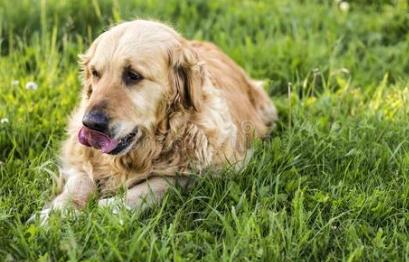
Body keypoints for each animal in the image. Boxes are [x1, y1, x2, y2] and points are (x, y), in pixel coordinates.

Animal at [34, 19, 278, 222]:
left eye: (133, 75)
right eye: (95, 73)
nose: (91, 124)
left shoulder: (216, 170)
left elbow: (159, 183)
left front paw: (112, 208)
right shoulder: (78, 157)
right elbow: (80, 181)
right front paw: (58, 212)